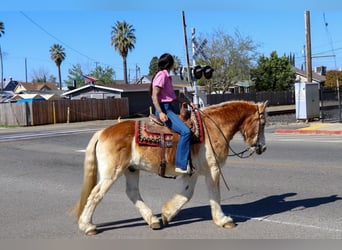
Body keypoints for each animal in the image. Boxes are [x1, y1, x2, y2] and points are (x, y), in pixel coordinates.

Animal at [71, 99, 268, 234]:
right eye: (263, 123)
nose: (263, 147)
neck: (213, 126)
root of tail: (102, 132)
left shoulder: (192, 172)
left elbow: (187, 194)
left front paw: (167, 213)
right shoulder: (213, 170)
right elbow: (214, 195)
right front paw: (223, 219)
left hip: (131, 170)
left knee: (132, 192)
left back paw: (153, 220)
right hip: (112, 173)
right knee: (95, 195)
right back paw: (87, 226)